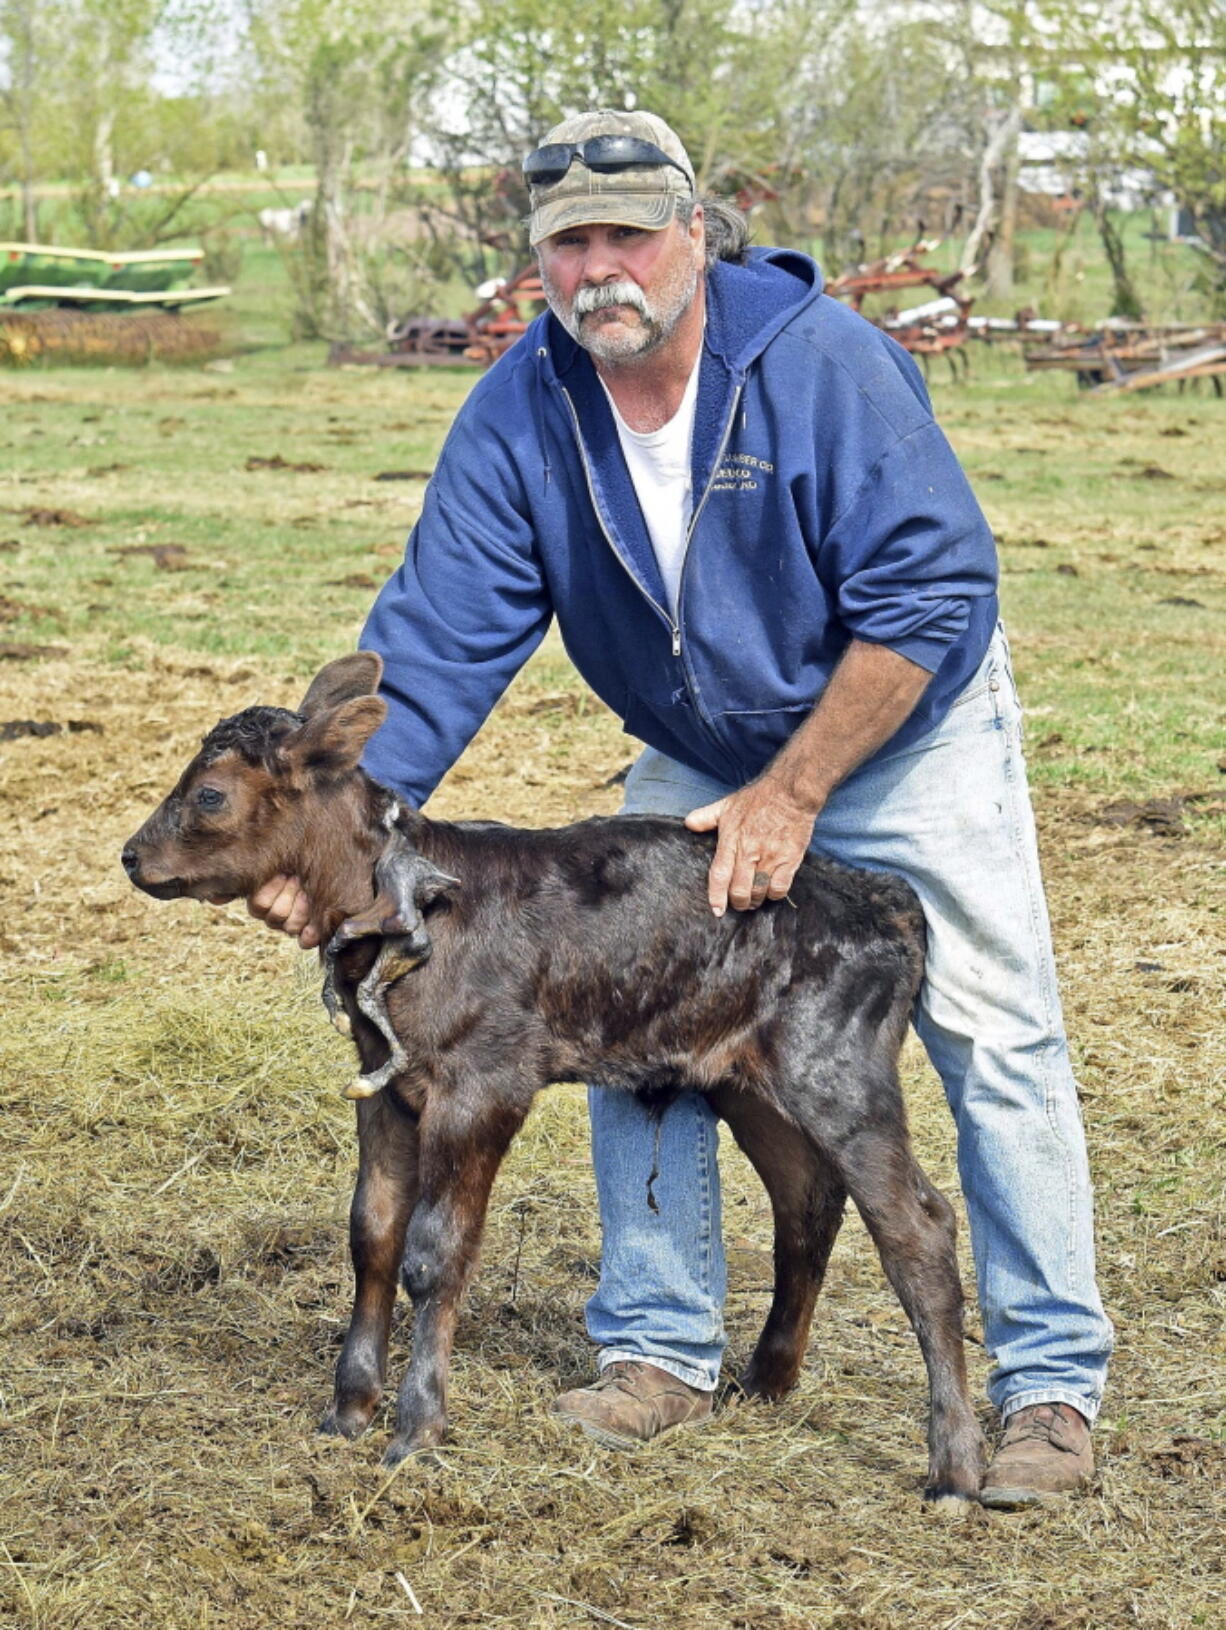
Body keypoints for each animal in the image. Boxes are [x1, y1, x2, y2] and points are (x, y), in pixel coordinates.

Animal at [124, 648, 984, 1499]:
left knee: (919, 1228)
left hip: (838, 1070)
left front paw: (416, 1429)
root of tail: (885, 896)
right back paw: (766, 1382)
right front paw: (347, 1411)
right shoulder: (385, 1087)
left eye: (209, 793)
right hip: (747, 1080)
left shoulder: (484, 1084)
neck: (407, 913)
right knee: (808, 1201)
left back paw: (954, 1468)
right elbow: (372, 1233)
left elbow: (435, 1252)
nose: (133, 856)